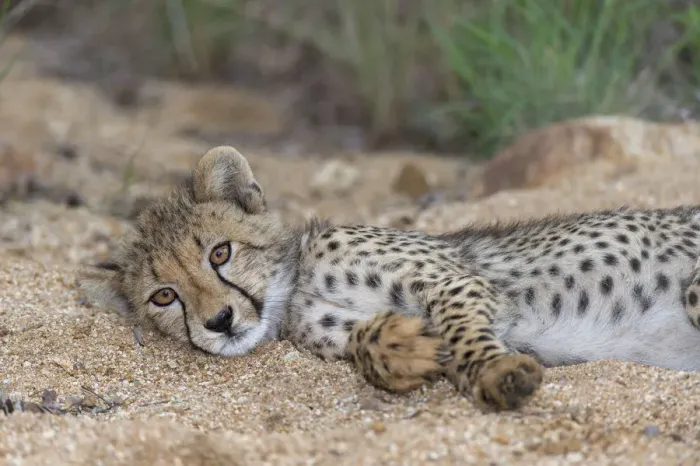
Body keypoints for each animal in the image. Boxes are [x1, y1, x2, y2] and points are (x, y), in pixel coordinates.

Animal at [78, 145, 700, 413]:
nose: (220, 321)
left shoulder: (458, 283)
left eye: (220, 253)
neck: (295, 290)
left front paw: (498, 375)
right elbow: (369, 341)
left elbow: (465, 334)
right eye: (164, 296)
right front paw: (401, 349)